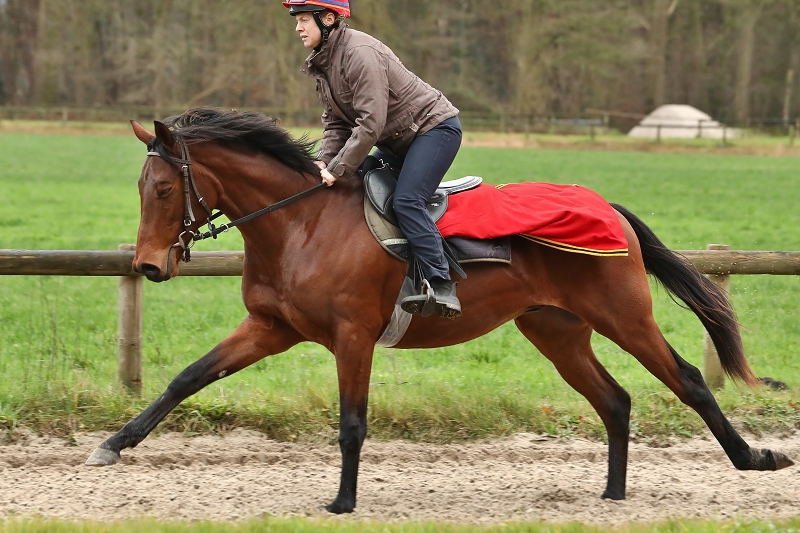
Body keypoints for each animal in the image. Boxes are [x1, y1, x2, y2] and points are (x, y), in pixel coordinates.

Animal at [85, 108, 794, 514]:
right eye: (144, 188)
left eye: (164, 188)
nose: (149, 265)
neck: (299, 224)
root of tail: (607, 207)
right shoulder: (271, 328)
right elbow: (187, 378)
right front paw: (114, 444)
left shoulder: (353, 336)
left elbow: (352, 422)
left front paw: (342, 501)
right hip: (555, 329)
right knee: (615, 400)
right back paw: (613, 492)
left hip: (626, 317)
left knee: (690, 381)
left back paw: (756, 459)